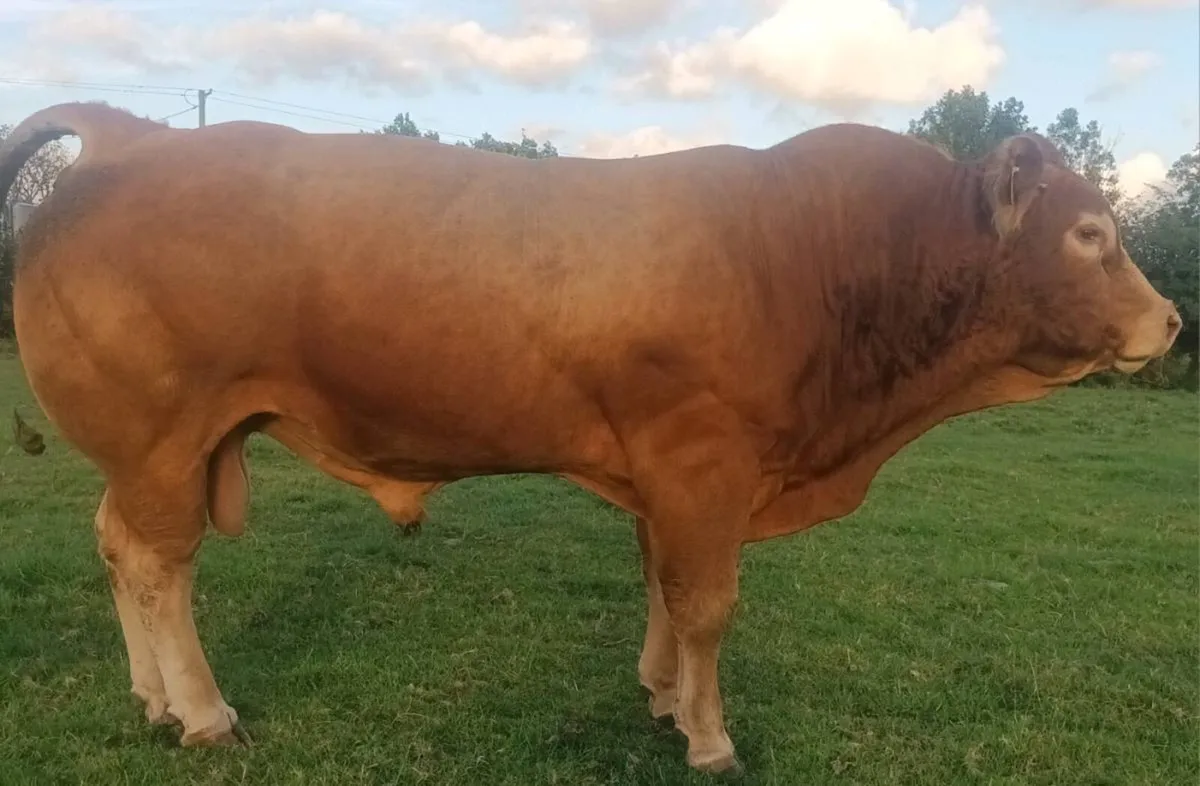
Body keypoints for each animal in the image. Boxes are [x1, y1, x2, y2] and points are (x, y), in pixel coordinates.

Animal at [0, 102, 1180, 775]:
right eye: (1090, 233)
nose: (1170, 321)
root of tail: (140, 138)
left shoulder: (668, 476)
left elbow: (662, 585)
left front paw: (661, 699)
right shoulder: (704, 463)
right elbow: (706, 604)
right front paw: (710, 737)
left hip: (159, 451)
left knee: (119, 548)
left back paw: (153, 699)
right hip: (162, 437)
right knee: (162, 567)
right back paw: (202, 713)